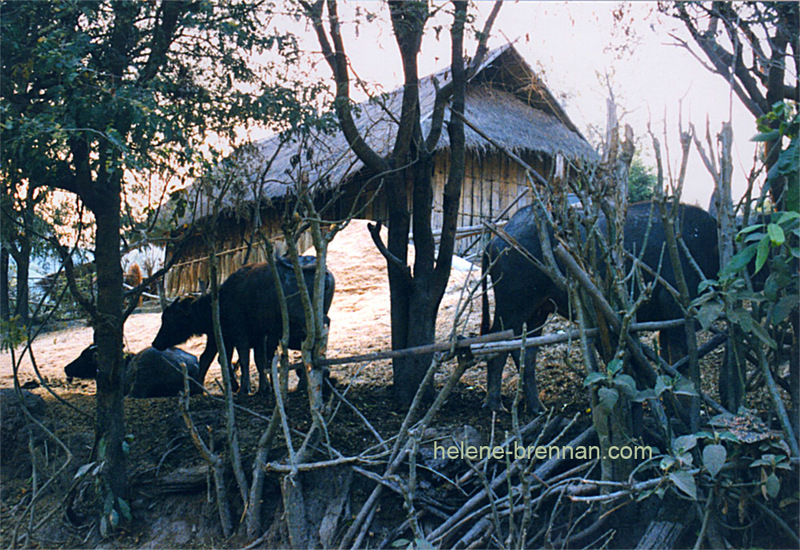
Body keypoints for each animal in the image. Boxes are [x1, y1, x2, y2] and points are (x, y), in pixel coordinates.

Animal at [152, 256, 334, 394]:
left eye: (171, 318)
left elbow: (243, 358)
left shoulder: (237, 333)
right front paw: (262, 388)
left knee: (321, 327)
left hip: (303, 316)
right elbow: (257, 360)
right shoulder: (254, 335)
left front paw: (243, 388)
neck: (220, 302)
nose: (155, 343)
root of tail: (325, 272)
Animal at [484, 203, 720, 414]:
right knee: (497, 345)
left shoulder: (668, 322)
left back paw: (537, 407)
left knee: (526, 352)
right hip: (513, 305)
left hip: (539, 309)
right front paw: (687, 411)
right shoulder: (676, 310)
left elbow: (671, 362)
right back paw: (495, 405)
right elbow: (683, 363)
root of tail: (498, 238)